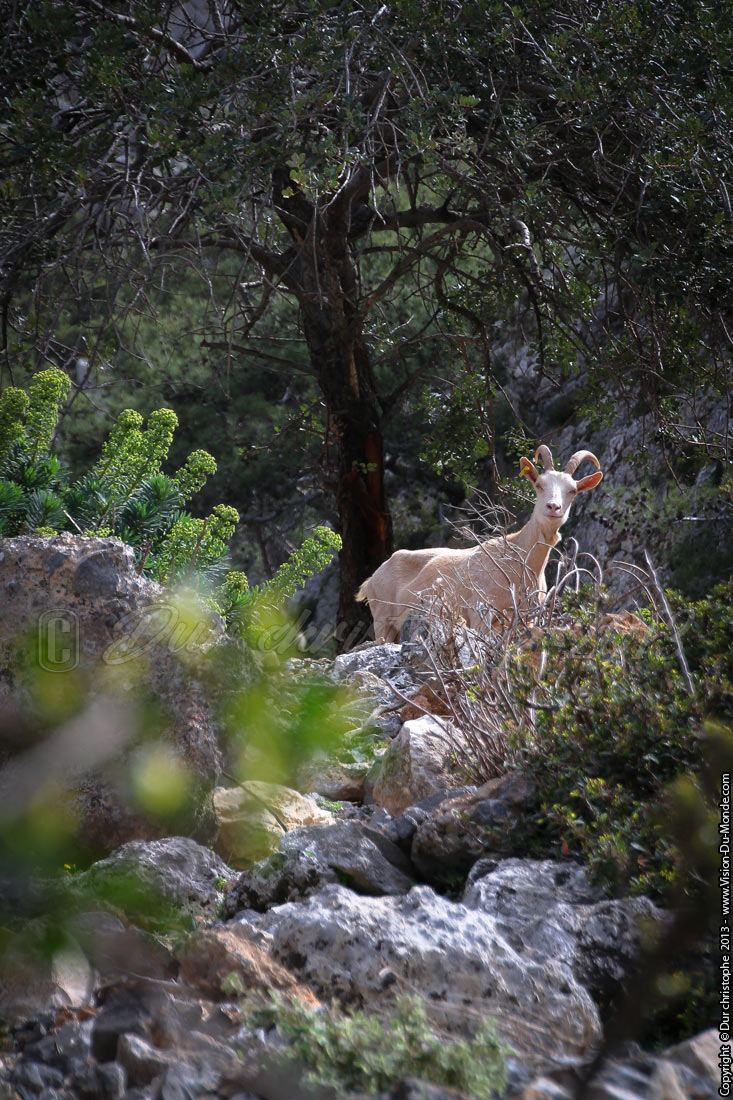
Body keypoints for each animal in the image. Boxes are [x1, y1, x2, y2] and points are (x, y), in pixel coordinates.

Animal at [356, 446, 603, 642]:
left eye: (572, 490)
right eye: (540, 485)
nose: (553, 507)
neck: (520, 559)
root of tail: (372, 579)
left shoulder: (526, 618)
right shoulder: (480, 611)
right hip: (382, 619)